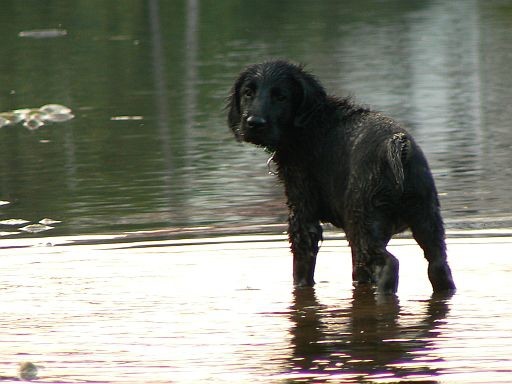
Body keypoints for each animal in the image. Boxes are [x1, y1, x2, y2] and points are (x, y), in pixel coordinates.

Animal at [228, 60, 456, 294]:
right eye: (248, 92)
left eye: (281, 96)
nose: (254, 123)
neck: (309, 121)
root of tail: (397, 145)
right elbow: (358, 272)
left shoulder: (303, 214)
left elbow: (301, 269)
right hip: (426, 222)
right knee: (438, 266)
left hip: (364, 225)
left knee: (390, 264)